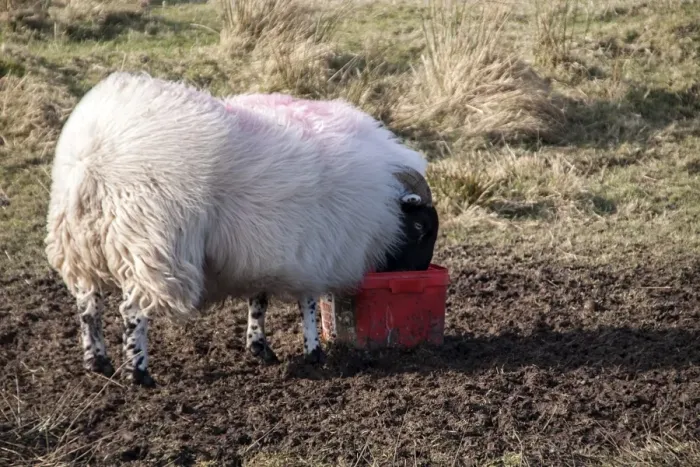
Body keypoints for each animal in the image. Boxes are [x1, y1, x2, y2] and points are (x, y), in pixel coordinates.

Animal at [44, 71, 438, 386]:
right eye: (421, 226)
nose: (420, 271)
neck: (382, 201)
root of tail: (93, 159)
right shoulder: (314, 252)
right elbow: (308, 305)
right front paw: (313, 353)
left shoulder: (266, 253)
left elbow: (259, 301)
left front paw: (259, 347)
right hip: (152, 247)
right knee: (132, 312)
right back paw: (138, 373)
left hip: (80, 246)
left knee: (87, 306)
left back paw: (97, 362)